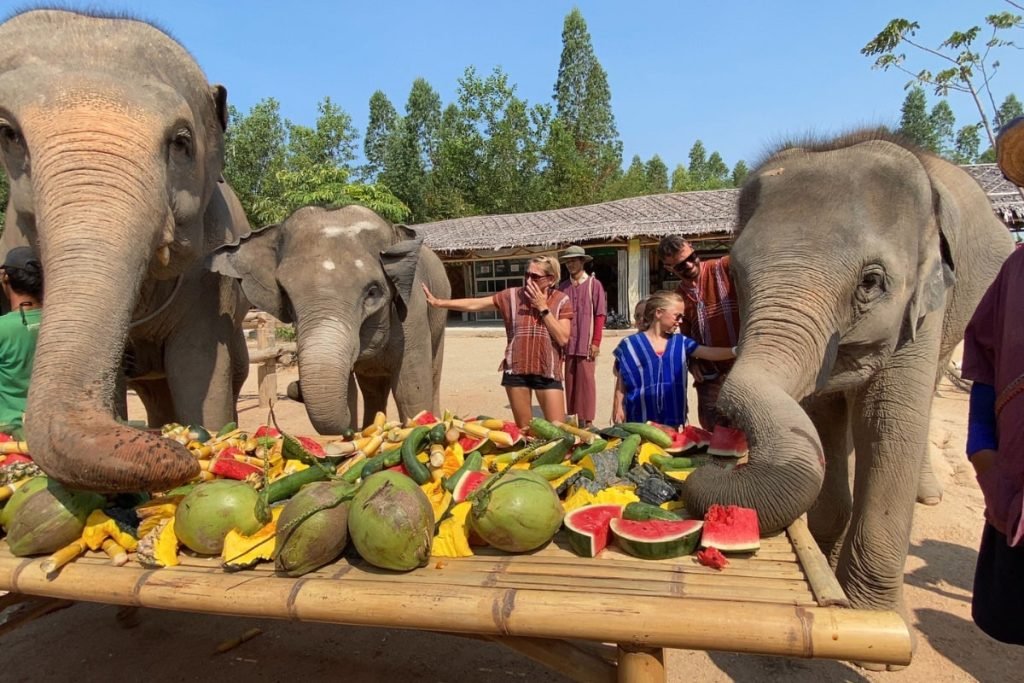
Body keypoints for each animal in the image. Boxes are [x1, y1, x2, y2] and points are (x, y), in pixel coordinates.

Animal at [0, 10, 251, 492]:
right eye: (8, 134)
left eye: (181, 141)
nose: (178, 450)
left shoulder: (211, 274)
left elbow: (198, 366)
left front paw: (209, 432)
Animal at [209, 205, 451, 433]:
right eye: (285, 294)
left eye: (373, 292)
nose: (294, 388)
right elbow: (351, 392)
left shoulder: (412, 314)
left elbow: (410, 392)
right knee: (372, 387)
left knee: (432, 373)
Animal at [681, 131, 1014, 627]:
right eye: (736, 274)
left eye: (871, 282)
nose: (710, 469)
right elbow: (822, 419)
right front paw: (825, 553)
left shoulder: (921, 307)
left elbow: (888, 423)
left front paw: (873, 616)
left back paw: (927, 495)